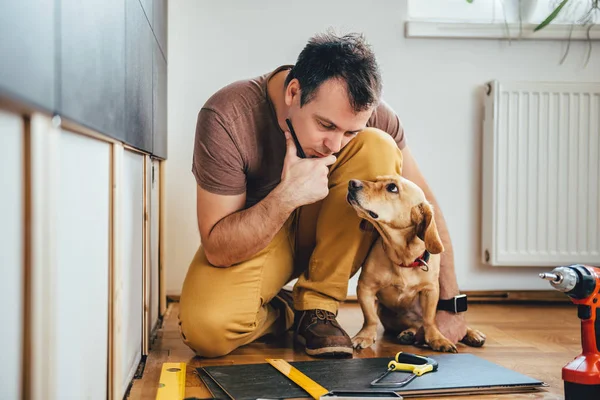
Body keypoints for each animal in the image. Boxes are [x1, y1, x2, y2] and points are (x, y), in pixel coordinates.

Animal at [344, 175, 486, 354]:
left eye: (392, 188)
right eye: (375, 180)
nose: (352, 183)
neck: (403, 258)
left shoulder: (430, 291)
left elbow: (430, 320)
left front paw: (437, 339)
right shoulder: (365, 288)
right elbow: (370, 318)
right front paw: (365, 336)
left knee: (426, 323)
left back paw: (473, 334)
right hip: (391, 317)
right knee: (415, 325)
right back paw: (409, 333)